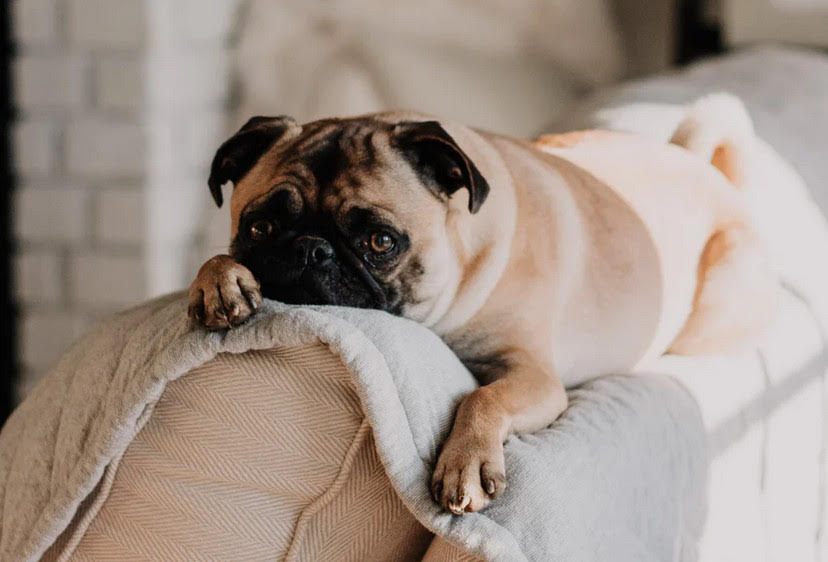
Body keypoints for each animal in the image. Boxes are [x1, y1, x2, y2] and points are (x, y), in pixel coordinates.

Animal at [188, 95, 776, 512]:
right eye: (260, 227)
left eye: (381, 241)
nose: (312, 250)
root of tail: (707, 170)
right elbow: (215, 261)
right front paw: (219, 280)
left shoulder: (534, 376)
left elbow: (482, 398)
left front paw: (466, 462)